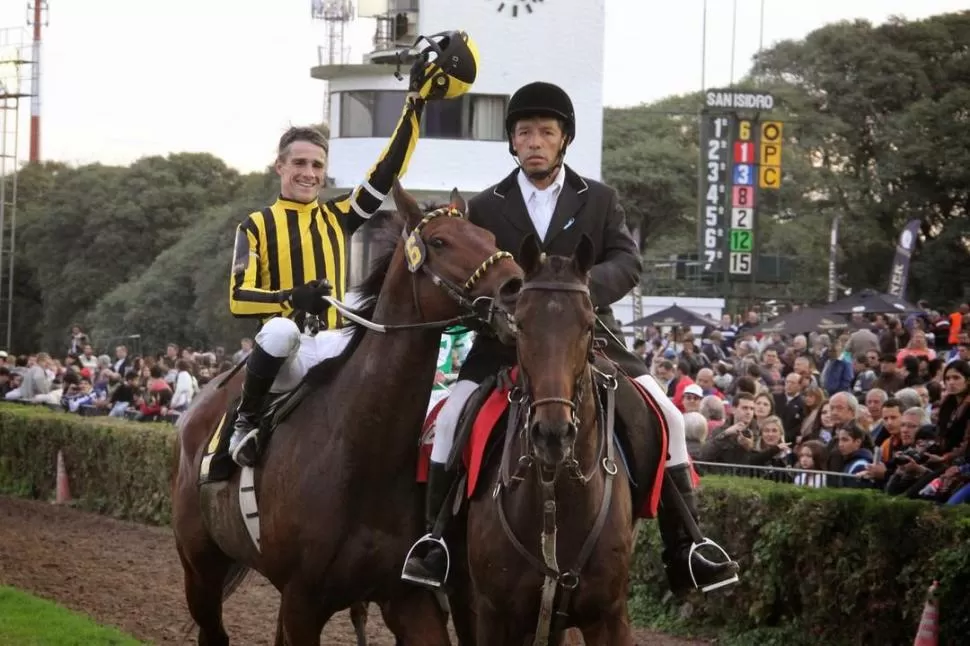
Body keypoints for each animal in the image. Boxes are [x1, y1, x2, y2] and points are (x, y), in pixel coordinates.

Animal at [170, 184, 524, 646]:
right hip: (200, 568)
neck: (361, 450)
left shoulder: (405, 597)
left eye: (488, 236)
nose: (516, 287)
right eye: (440, 241)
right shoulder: (303, 600)